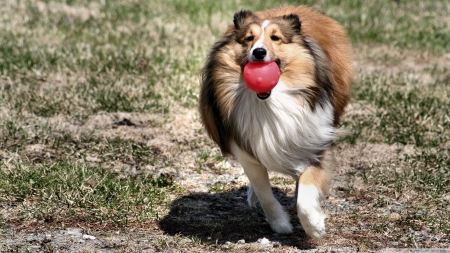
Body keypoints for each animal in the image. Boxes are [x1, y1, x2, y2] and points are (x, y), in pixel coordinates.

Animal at [199, 5, 354, 239]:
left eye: (276, 38)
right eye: (248, 38)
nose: (259, 52)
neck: (270, 103)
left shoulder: (315, 141)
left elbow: (306, 192)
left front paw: (314, 226)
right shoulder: (245, 149)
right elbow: (265, 193)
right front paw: (280, 223)